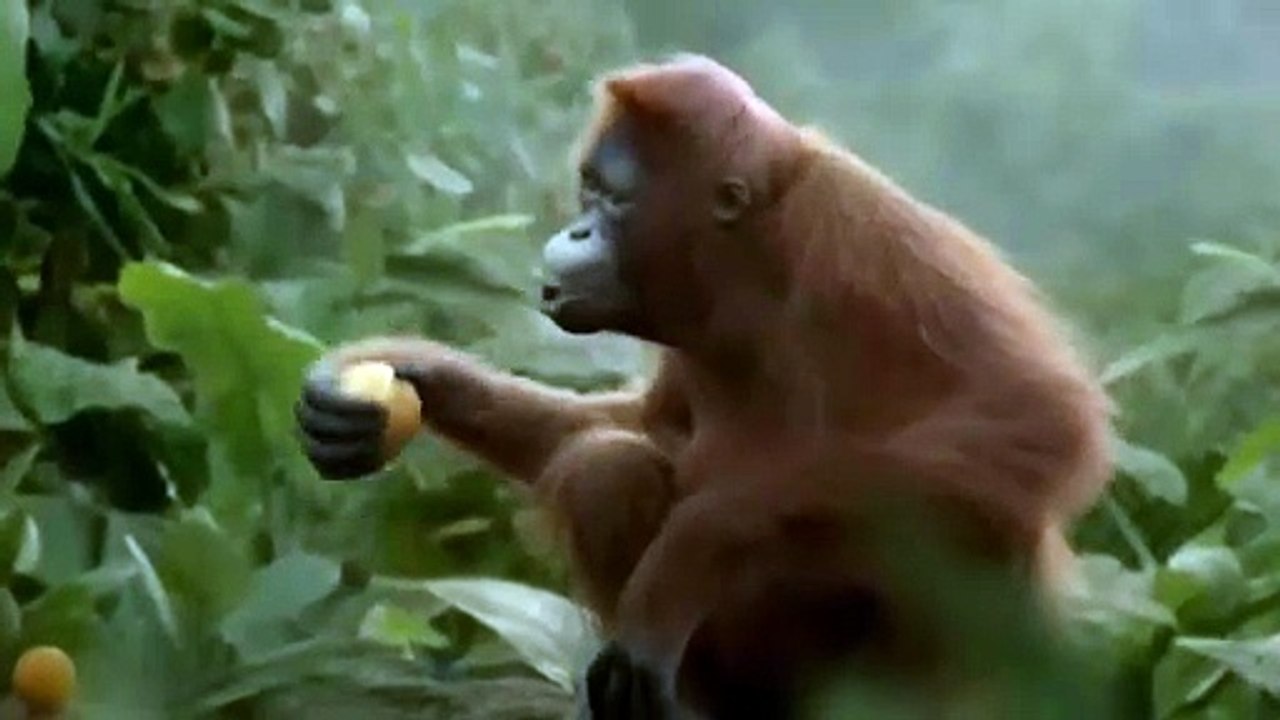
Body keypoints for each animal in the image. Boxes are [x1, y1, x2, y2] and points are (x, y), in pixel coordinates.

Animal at [295, 53, 1113, 719]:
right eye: (588, 189)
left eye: (614, 199)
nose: (578, 230)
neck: (755, 257)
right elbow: (652, 428)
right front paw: (416, 374)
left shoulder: (861, 231)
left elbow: (1037, 417)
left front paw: (692, 547)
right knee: (608, 467)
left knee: (980, 504)